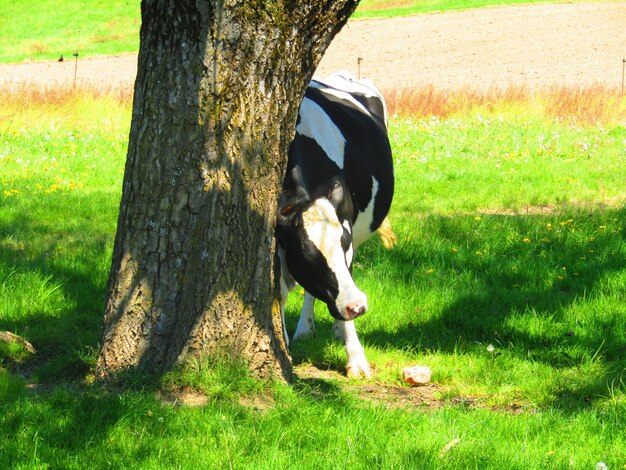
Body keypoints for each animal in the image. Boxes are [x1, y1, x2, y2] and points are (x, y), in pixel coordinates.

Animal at [276, 70, 392, 378]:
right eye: (307, 255)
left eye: (345, 244)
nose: (358, 306)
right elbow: (281, 292)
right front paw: (283, 342)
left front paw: (357, 359)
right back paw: (305, 329)